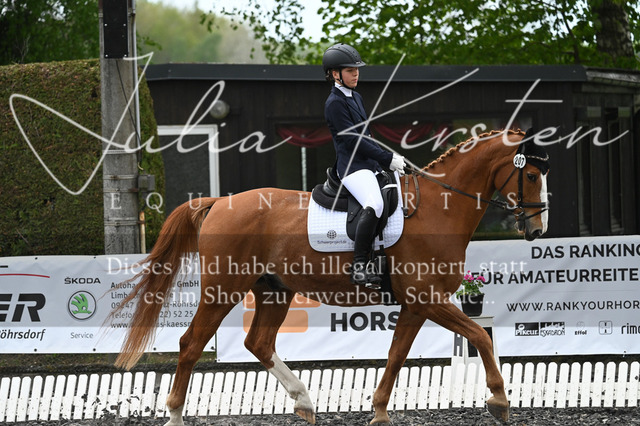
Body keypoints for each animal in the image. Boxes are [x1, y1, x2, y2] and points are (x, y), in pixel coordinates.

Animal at [110, 129, 550, 425]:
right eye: (531, 176)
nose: (537, 229)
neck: (437, 211)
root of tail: (220, 202)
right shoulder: (427, 298)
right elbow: (479, 336)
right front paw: (499, 400)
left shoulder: (416, 304)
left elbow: (397, 355)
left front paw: (379, 411)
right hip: (223, 288)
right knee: (191, 343)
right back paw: (175, 415)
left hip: (274, 290)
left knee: (258, 342)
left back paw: (304, 401)